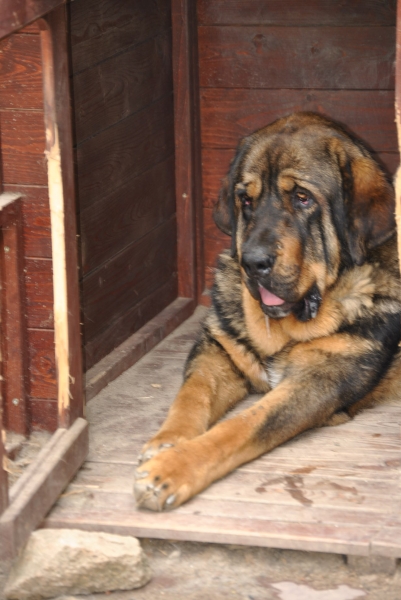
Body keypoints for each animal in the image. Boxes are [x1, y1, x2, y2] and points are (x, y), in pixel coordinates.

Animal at [134, 112, 400, 510]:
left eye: (303, 198)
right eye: (246, 200)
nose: (252, 263)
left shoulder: (319, 381)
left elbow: (242, 426)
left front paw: (171, 470)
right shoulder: (219, 351)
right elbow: (191, 395)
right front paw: (167, 442)